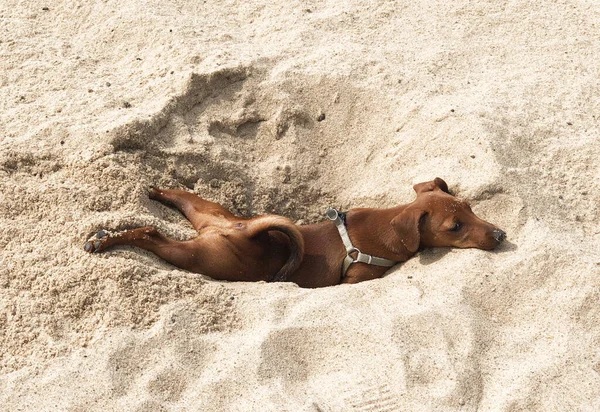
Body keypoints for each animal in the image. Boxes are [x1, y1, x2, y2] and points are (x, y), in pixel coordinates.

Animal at [85, 179, 506, 288]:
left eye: (470, 207)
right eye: (455, 227)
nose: (501, 235)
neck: (389, 221)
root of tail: (245, 229)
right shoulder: (356, 279)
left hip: (205, 209)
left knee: (170, 201)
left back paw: (149, 197)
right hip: (199, 258)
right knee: (151, 236)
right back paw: (106, 241)